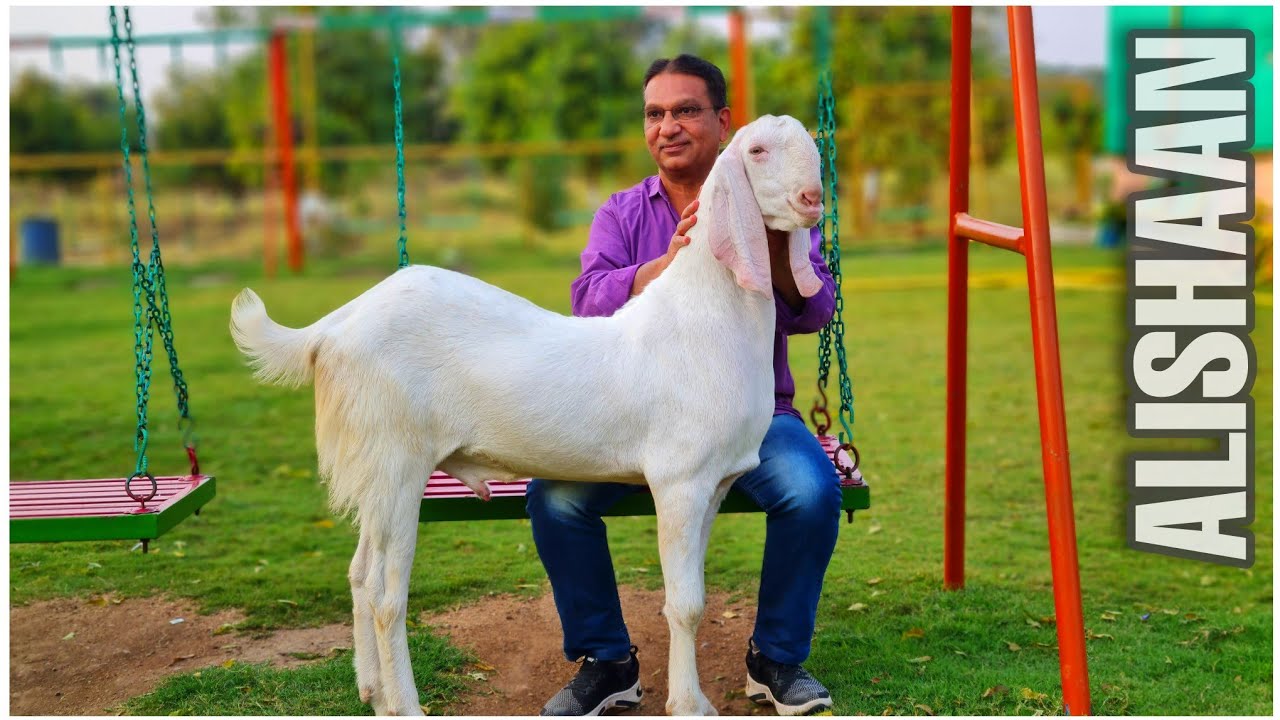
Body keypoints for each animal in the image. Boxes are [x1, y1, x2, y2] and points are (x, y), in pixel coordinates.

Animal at [229, 114, 825, 716]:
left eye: (812, 147)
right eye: (757, 150)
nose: (813, 199)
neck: (703, 318)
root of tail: (334, 328)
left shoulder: (717, 484)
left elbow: (695, 596)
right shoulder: (680, 481)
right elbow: (685, 604)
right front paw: (688, 704)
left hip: (376, 474)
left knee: (356, 574)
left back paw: (372, 691)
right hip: (397, 464)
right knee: (384, 594)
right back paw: (404, 704)